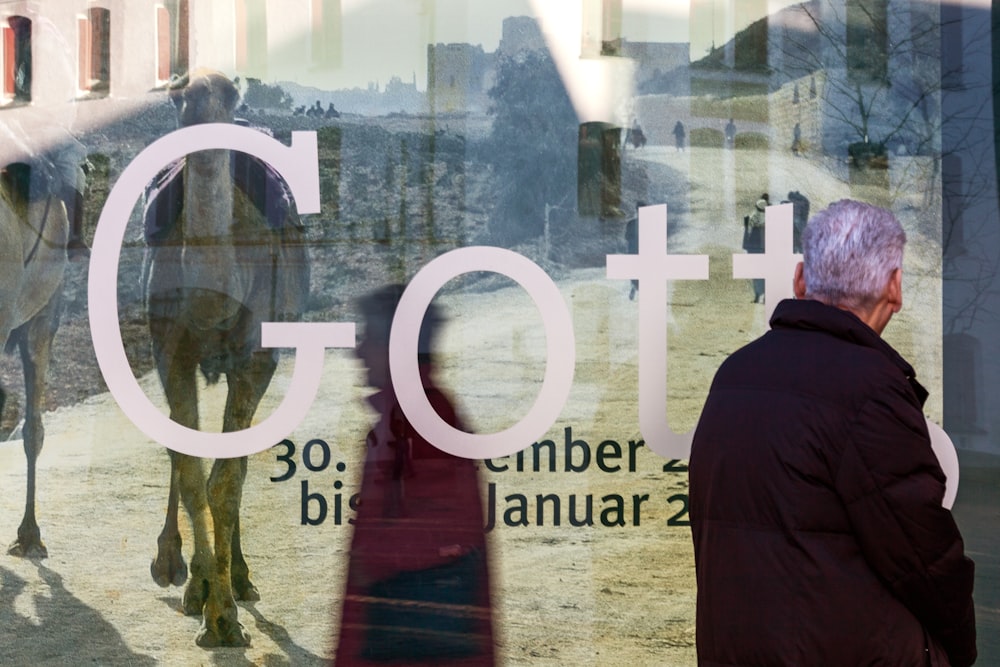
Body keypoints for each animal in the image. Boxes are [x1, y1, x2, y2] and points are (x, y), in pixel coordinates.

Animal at [143, 72, 310, 648]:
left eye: (230, 94)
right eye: (177, 97)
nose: (196, 94)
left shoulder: (257, 357)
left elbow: (226, 477)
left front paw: (225, 615)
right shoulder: (169, 349)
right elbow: (193, 471)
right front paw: (207, 604)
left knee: (234, 462)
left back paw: (237, 576)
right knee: (185, 450)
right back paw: (184, 572)